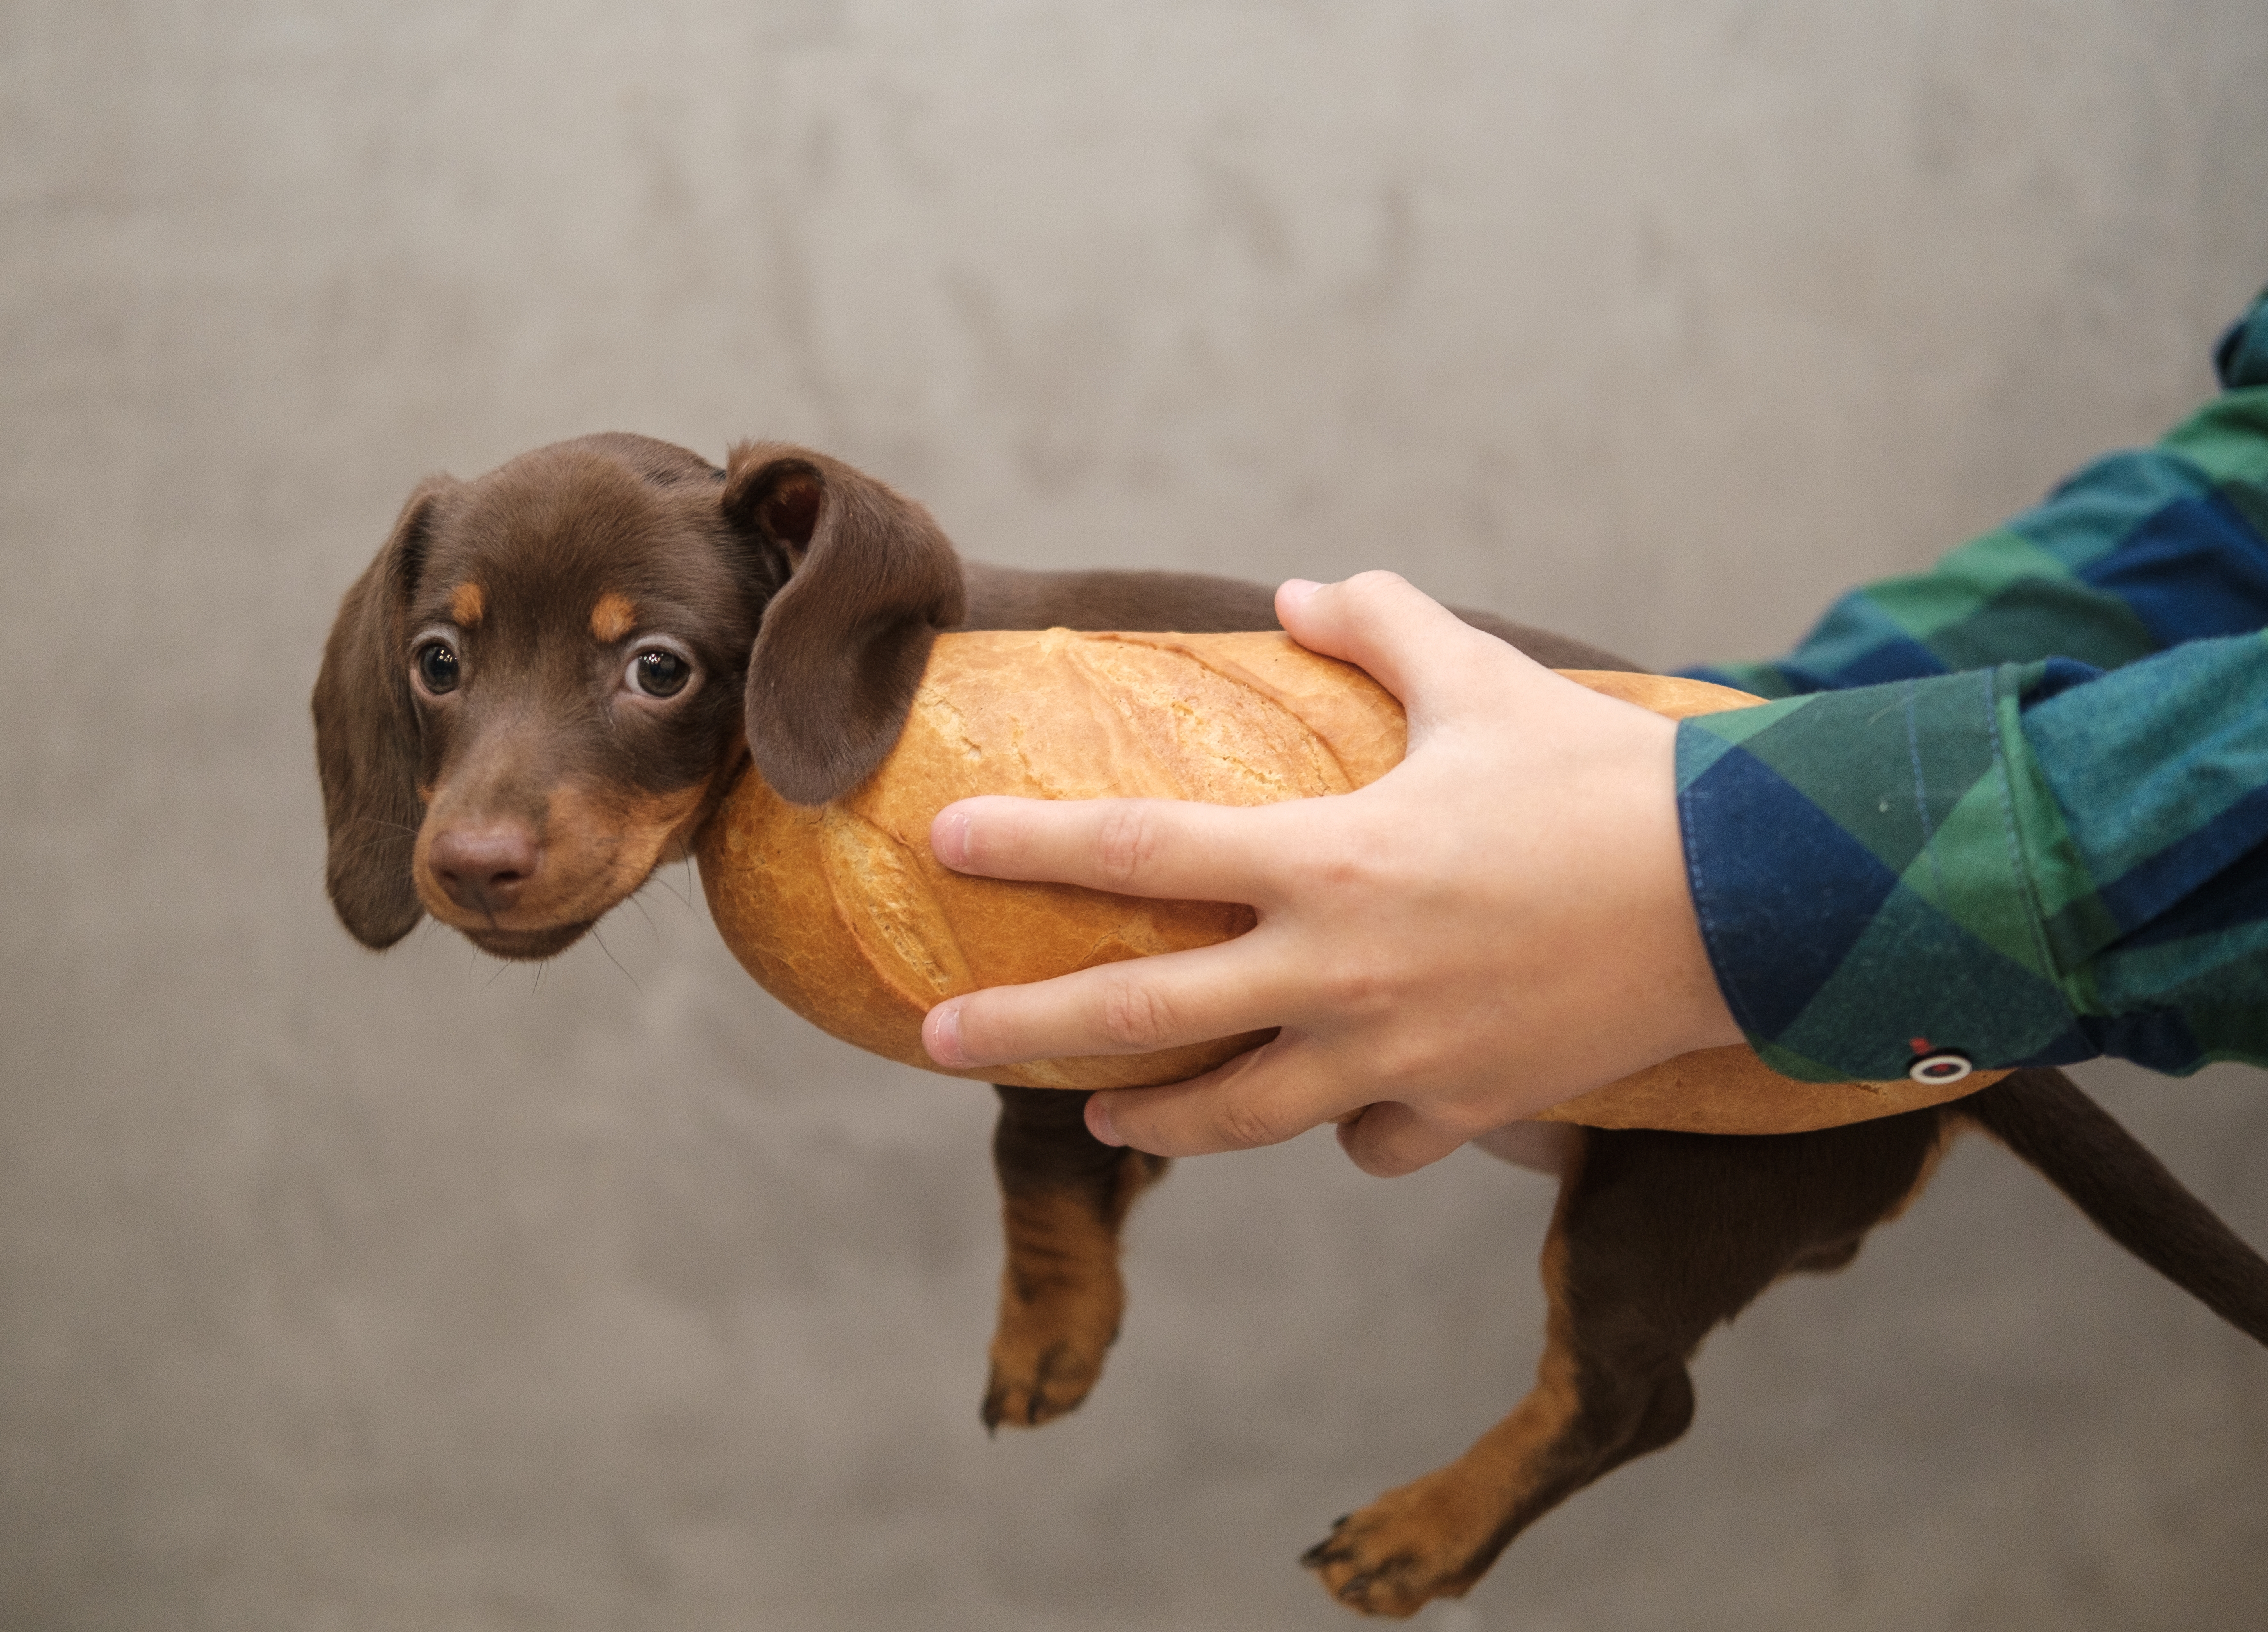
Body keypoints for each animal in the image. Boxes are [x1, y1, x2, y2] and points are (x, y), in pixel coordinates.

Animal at [315, 433, 2268, 1625]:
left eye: (657, 667)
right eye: (435, 660)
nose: (466, 864)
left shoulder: (1072, 1016)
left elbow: (1034, 1160)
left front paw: (1050, 1333)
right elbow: (1076, 1163)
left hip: (1663, 1198)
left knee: (1627, 1394)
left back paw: (1421, 1530)